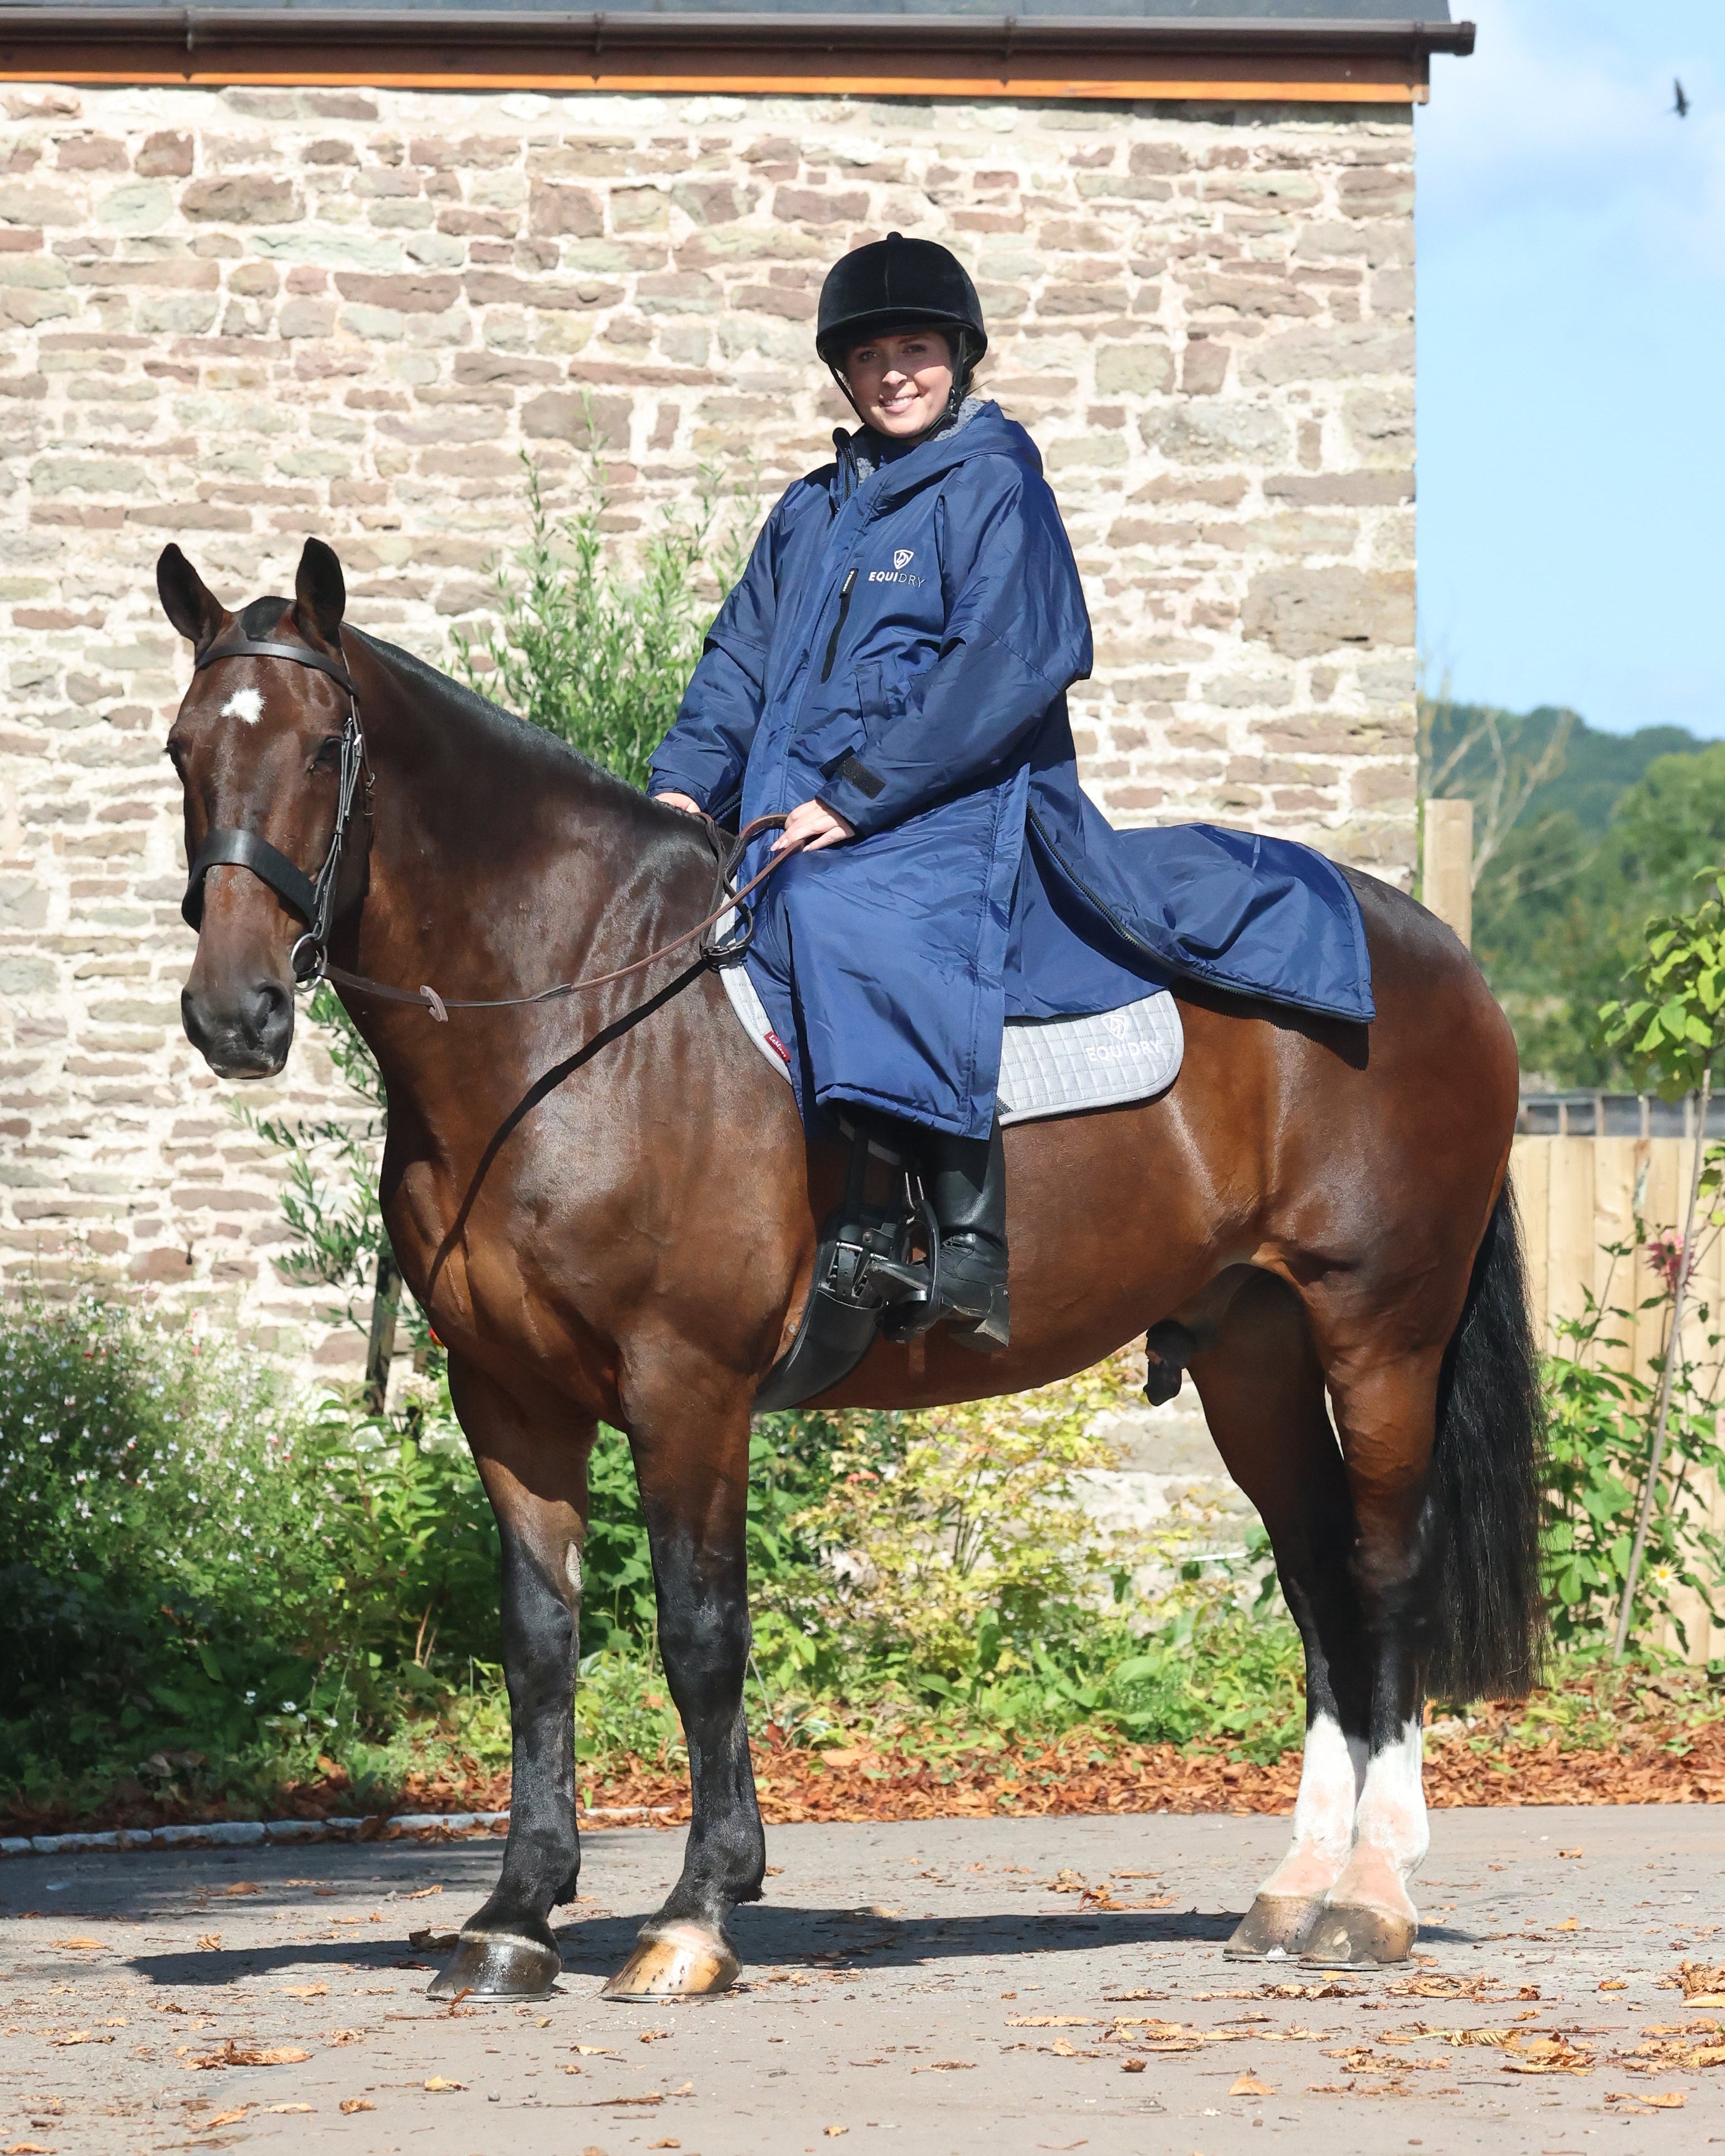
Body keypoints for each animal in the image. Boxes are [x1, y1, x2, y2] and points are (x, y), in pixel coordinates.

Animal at [156, 536, 1542, 2002]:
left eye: (323, 750)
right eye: (184, 747)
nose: (234, 1013)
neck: (583, 1011)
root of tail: (1431, 951)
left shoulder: (687, 1387)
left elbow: (701, 1636)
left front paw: (698, 1911)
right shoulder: (509, 1398)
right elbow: (539, 1643)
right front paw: (515, 1915)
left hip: (1376, 1335)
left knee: (1384, 1571)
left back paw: (1372, 1893)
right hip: (1253, 1354)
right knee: (1319, 1578)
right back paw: (1293, 1891)